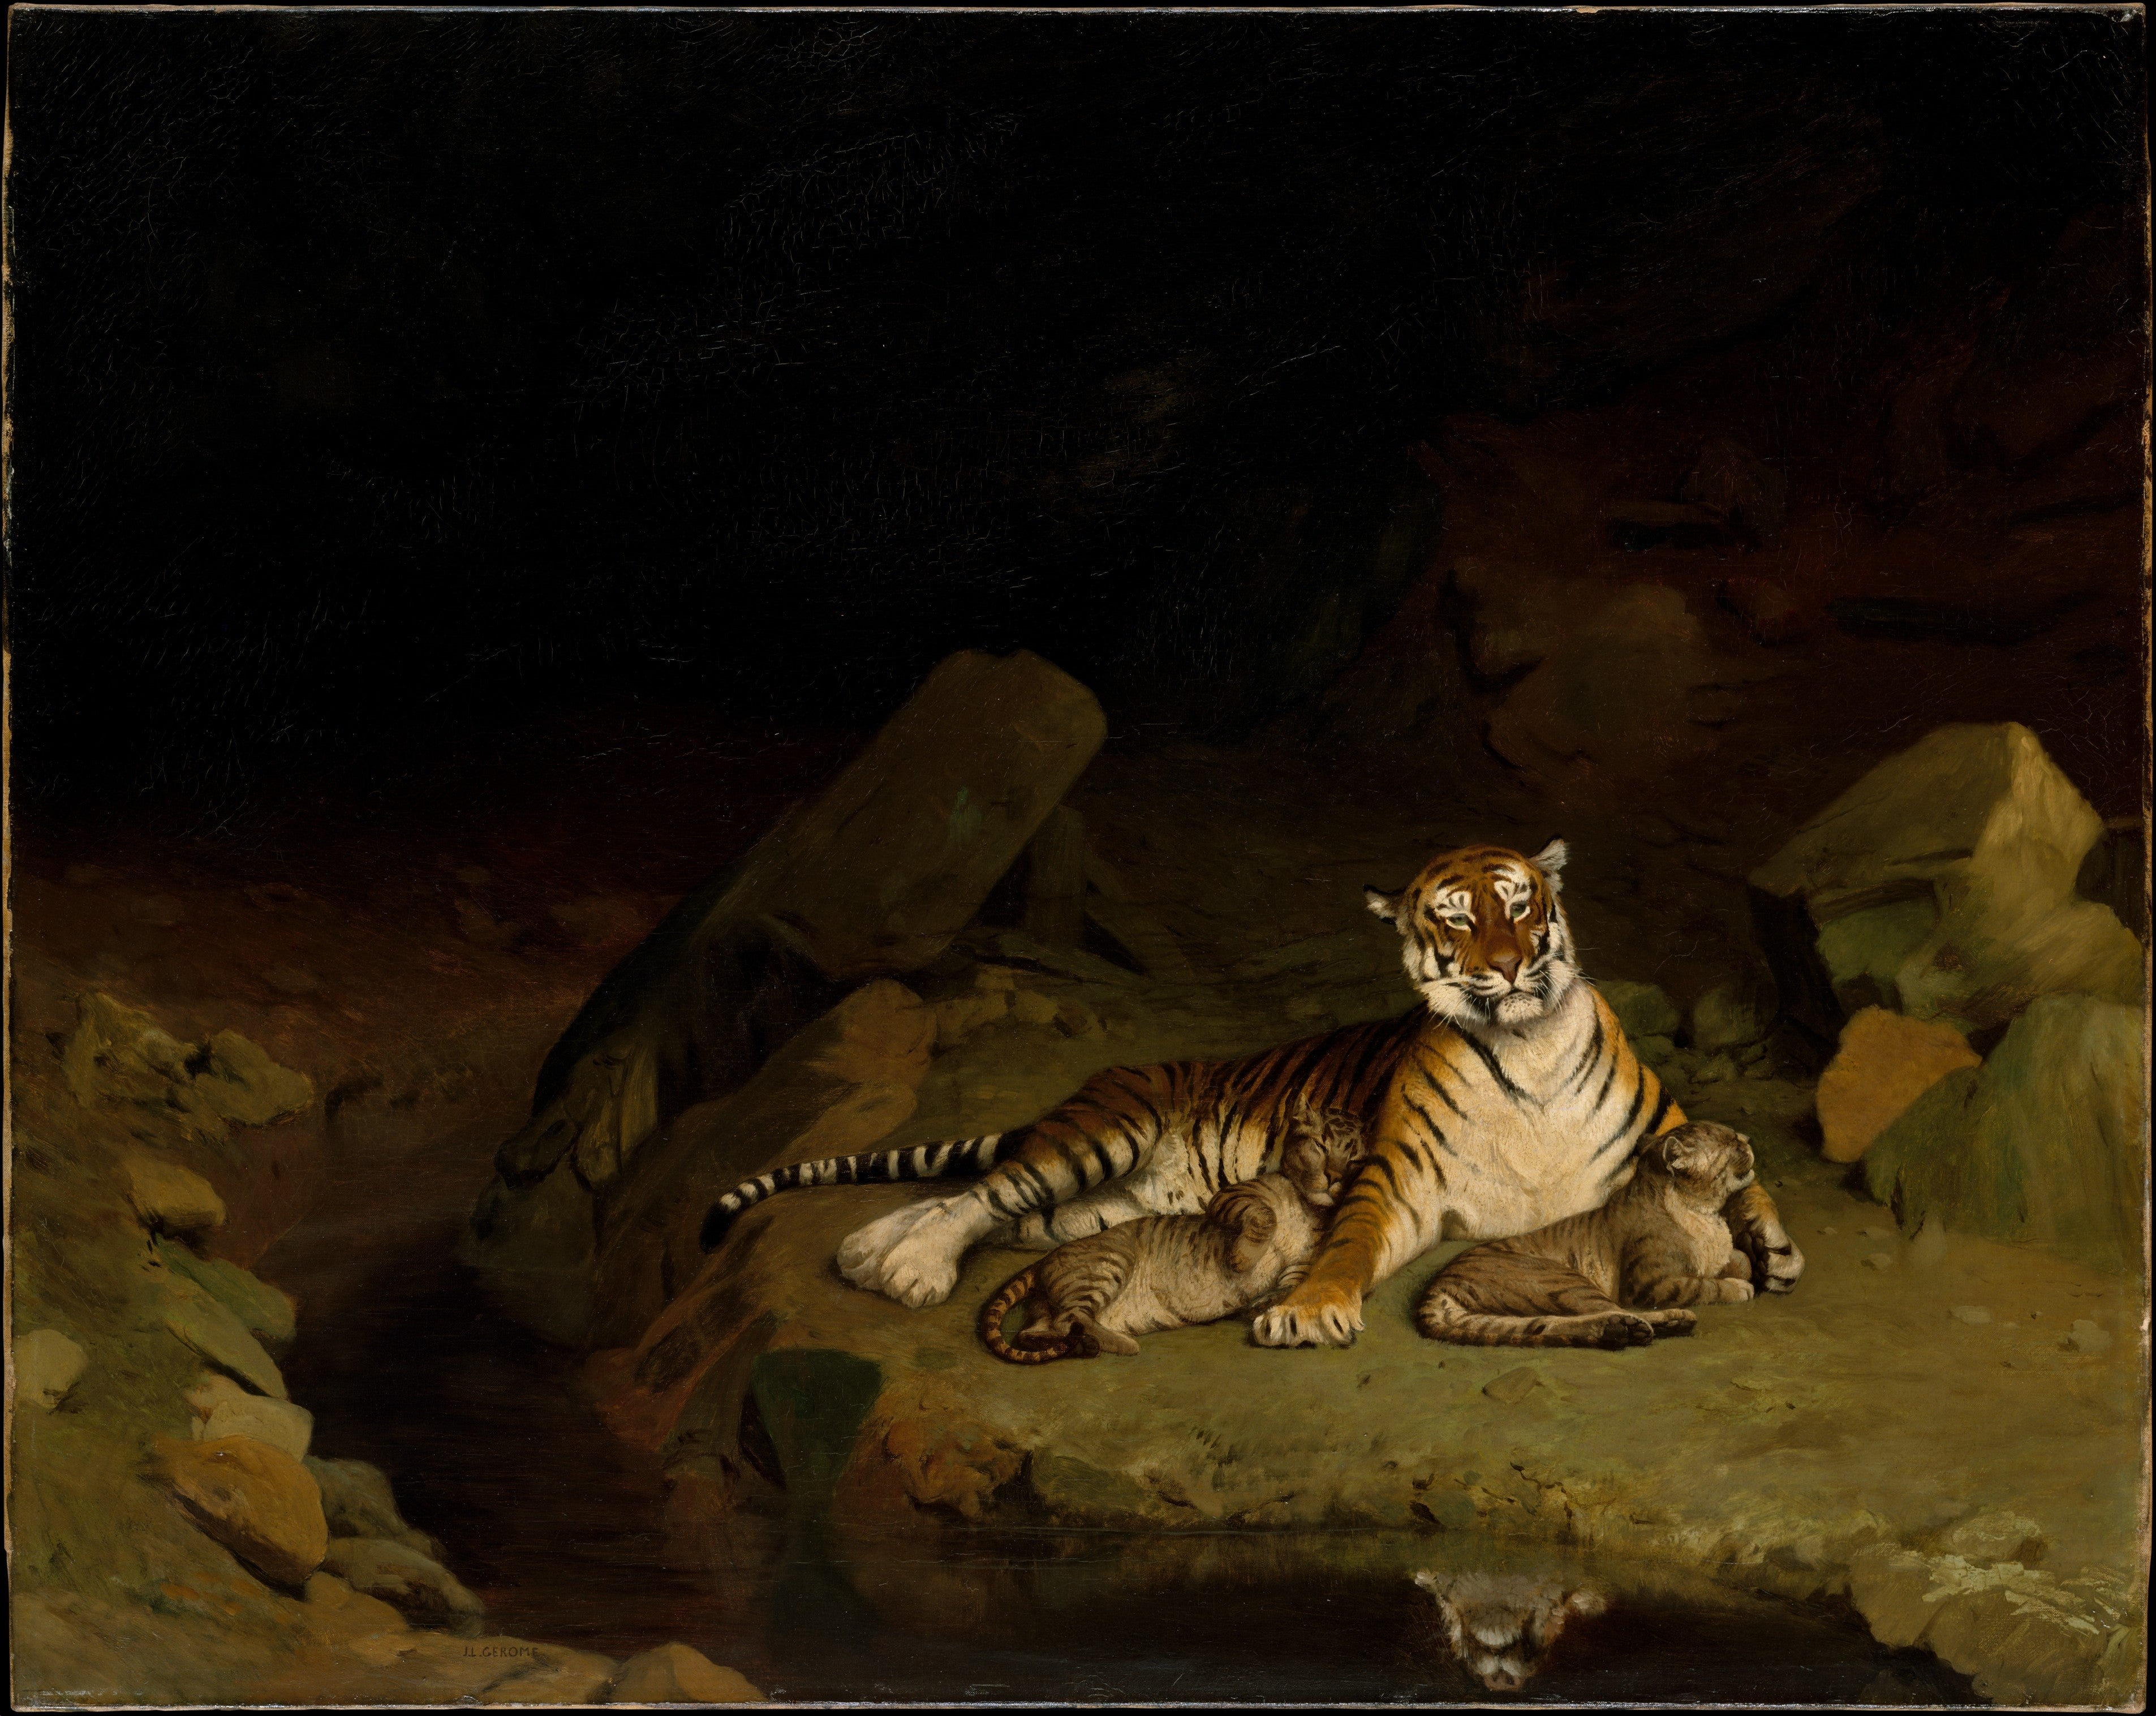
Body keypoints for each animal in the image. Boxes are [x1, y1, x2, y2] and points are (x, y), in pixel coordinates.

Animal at [699, 839, 1805, 1346]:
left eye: (1520, 903)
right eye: (1454, 917)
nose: (1503, 967)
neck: (1523, 1043)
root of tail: (1122, 1073)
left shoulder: (1663, 1124)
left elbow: (1749, 1183)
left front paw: (1774, 1250)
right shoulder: (1392, 1178)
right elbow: (1348, 1243)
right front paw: (1306, 1310)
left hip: (1098, 1204)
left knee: (984, 1206)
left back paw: (869, 1252)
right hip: (1099, 1135)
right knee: (979, 1191)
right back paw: (906, 1268)